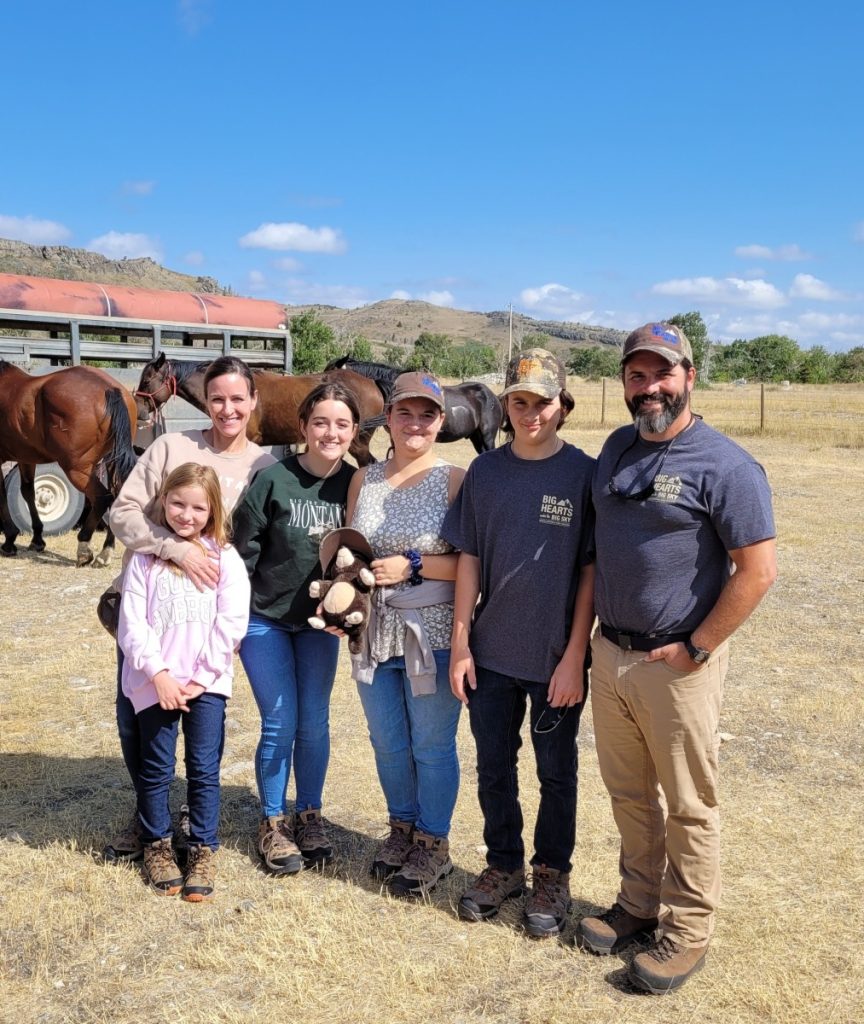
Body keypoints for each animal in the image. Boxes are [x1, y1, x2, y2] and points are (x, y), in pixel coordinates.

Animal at [0, 361, 138, 566]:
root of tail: (109, 389)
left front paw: (9, 540)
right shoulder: (26, 458)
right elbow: (28, 492)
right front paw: (37, 539)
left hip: (76, 468)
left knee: (102, 498)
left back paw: (84, 548)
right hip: (111, 460)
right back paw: (106, 551)